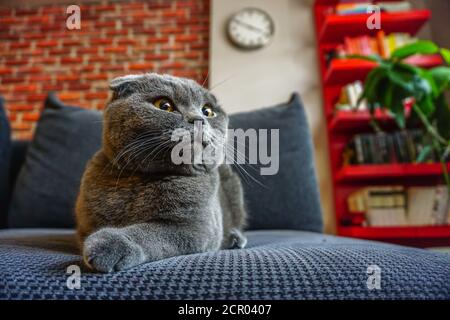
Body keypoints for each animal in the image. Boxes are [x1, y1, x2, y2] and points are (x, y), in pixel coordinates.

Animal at [75, 73, 248, 272]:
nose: (199, 119)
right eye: (164, 105)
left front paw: (110, 243)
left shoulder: (198, 227)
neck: (141, 178)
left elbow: (151, 232)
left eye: (208, 111)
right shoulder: (85, 224)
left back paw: (235, 238)